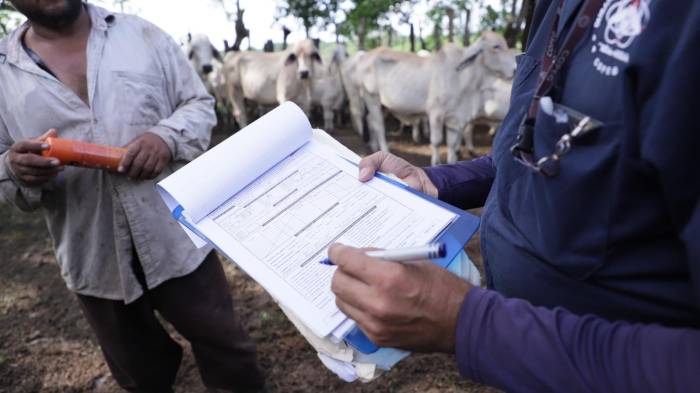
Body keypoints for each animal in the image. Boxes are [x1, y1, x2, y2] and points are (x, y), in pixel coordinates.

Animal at [358, 31, 516, 164]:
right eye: (496, 46)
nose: (515, 69)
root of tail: (367, 56)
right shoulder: (436, 114)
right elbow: (437, 141)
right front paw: (435, 163)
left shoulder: (455, 119)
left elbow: (452, 145)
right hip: (372, 98)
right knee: (378, 125)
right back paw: (384, 149)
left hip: (384, 105)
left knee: (370, 120)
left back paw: (373, 146)